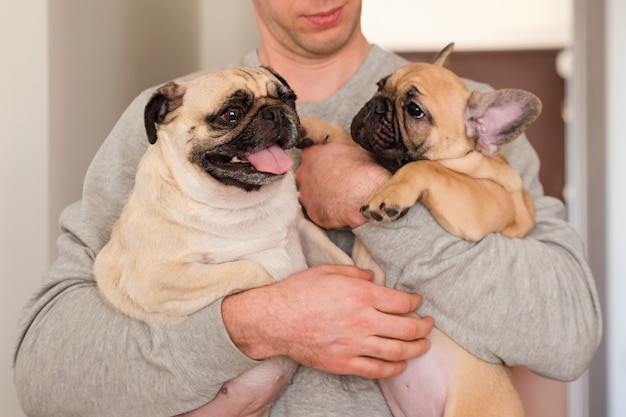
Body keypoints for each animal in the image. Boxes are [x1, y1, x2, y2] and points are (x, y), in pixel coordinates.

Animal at [95, 66, 354, 414]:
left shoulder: (302, 229)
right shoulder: (155, 280)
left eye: (289, 100)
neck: (243, 204)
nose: (275, 112)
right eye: (231, 115)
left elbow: (346, 262)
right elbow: (252, 269)